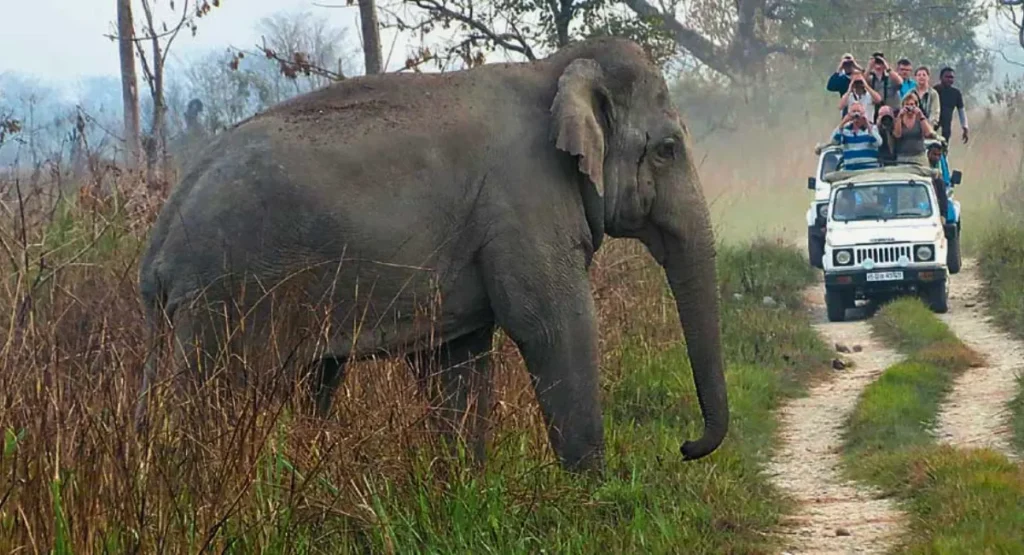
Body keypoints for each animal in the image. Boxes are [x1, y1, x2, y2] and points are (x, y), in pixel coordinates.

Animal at [135, 36, 729, 473]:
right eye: (668, 149)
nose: (684, 448)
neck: (553, 68)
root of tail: (159, 242)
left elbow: (457, 356)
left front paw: (466, 488)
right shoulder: (522, 199)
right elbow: (551, 324)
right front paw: (591, 496)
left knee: (302, 383)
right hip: (224, 297)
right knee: (211, 395)